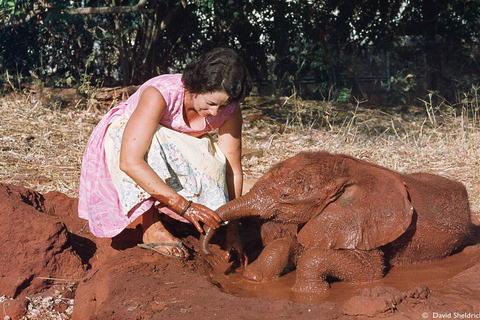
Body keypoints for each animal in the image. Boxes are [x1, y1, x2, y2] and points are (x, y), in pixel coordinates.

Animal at [199, 151, 476, 294]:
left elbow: (369, 270)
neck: (349, 170)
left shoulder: (363, 224)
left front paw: (307, 293)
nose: (208, 250)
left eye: (285, 197)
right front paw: (254, 278)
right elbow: (295, 243)